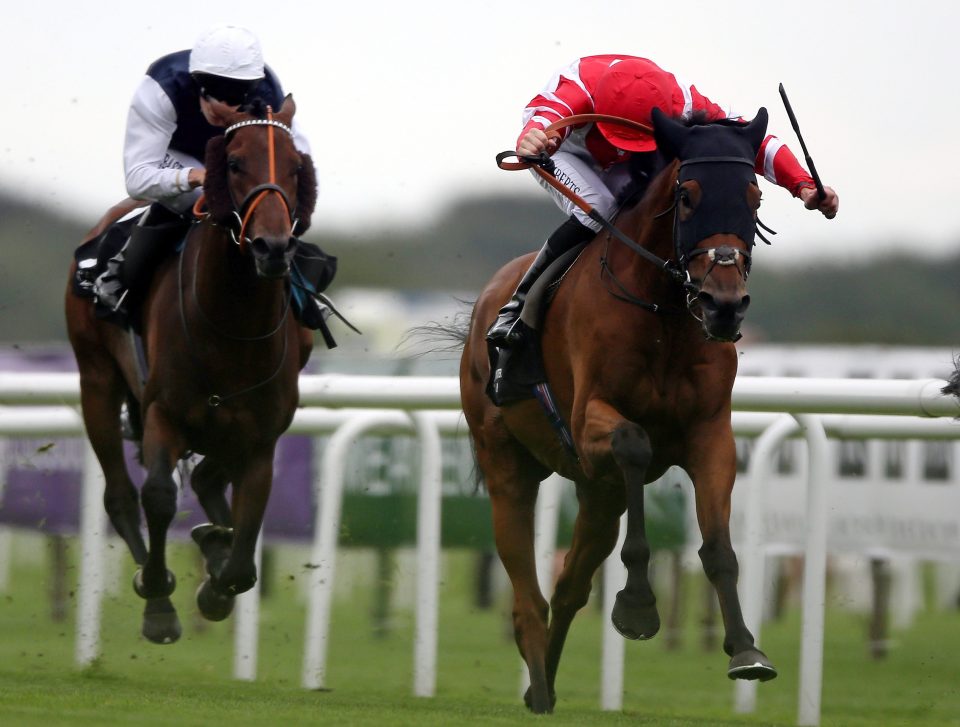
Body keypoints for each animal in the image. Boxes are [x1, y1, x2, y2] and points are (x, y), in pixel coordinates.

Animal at [64, 95, 318, 644]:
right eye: (235, 163)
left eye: (295, 167)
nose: (272, 248)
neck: (233, 328)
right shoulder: (164, 413)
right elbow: (159, 496)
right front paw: (158, 595)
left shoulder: (261, 434)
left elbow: (246, 549)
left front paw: (218, 578)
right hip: (97, 379)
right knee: (121, 495)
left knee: (204, 480)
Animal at [460, 106, 780, 712]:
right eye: (688, 198)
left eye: (753, 196)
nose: (724, 306)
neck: (666, 314)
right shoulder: (591, 423)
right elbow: (634, 444)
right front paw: (636, 604)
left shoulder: (710, 437)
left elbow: (718, 546)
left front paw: (746, 649)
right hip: (509, 467)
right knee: (527, 595)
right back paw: (539, 685)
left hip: (597, 493)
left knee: (568, 588)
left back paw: (545, 684)